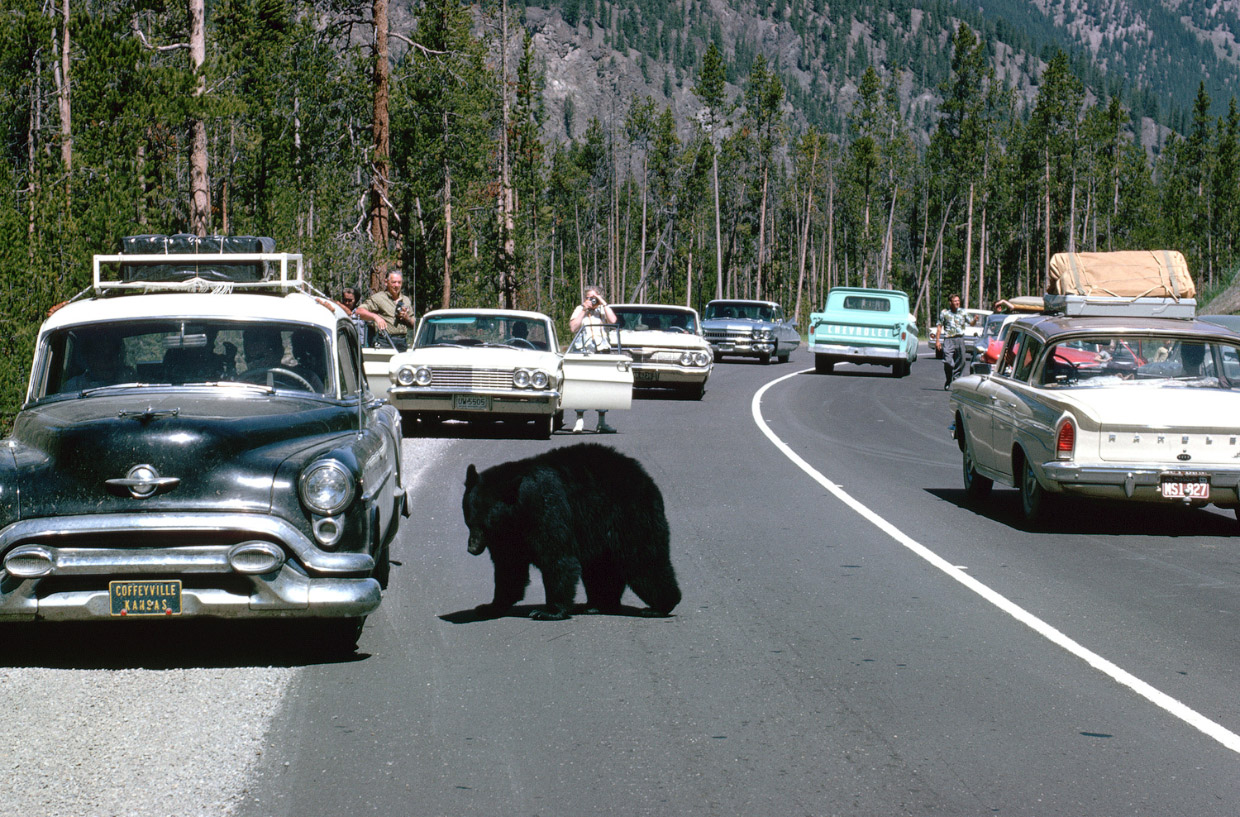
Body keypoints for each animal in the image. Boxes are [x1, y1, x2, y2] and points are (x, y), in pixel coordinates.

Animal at [463, 443, 684, 622]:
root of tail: (646, 478)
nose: (472, 548)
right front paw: (490, 606)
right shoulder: (507, 537)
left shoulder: (546, 511)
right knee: (601, 569)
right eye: (469, 521)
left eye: (485, 524)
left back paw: (659, 606)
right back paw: (598, 605)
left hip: (630, 515)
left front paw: (548, 612)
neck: (518, 512)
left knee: (643, 560)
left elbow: (557, 559)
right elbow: (509, 568)